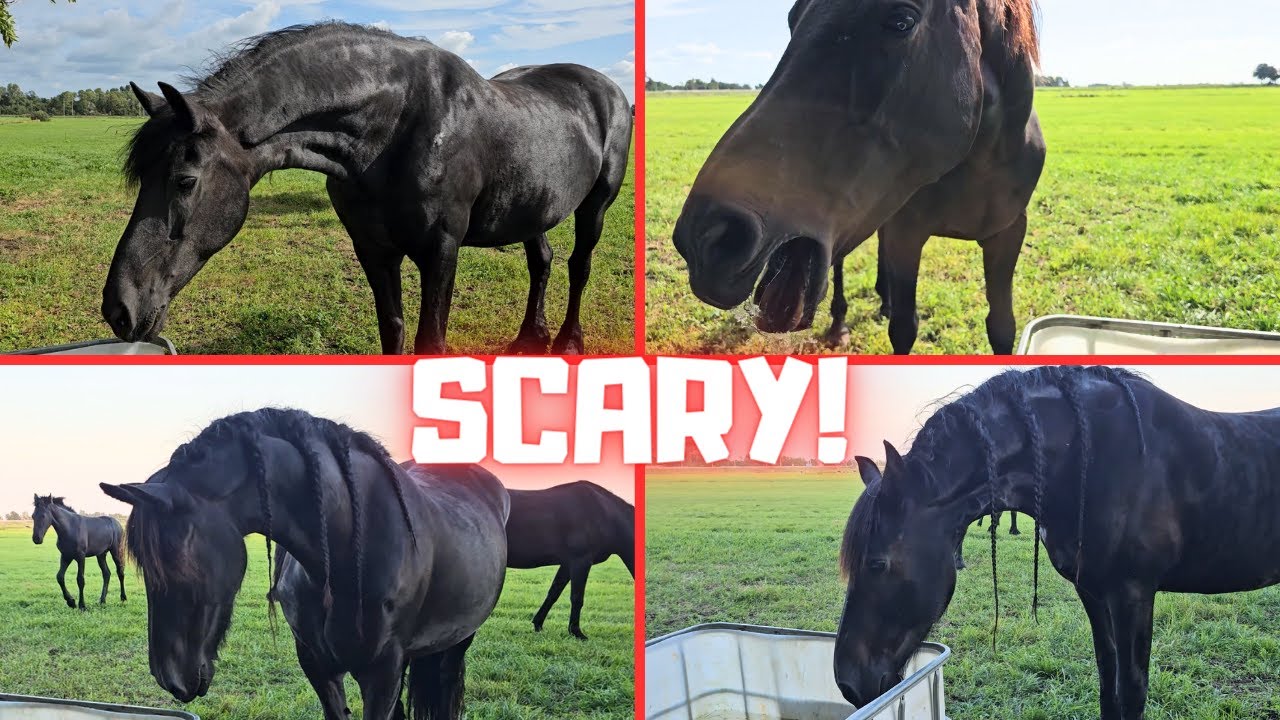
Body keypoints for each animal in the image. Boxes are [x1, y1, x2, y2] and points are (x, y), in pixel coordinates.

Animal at [100, 408, 509, 720]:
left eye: (178, 563)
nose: (169, 679)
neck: (347, 554)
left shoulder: (383, 673)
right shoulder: (317, 664)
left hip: (457, 643)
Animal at [103, 22, 632, 355]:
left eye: (185, 180)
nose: (118, 309)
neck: (395, 127)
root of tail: (608, 89)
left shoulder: (441, 251)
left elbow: (429, 341)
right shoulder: (373, 251)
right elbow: (392, 331)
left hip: (595, 207)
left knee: (579, 265)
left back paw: (568, 341)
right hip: (531, 209)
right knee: (541, 261)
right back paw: (529, 339)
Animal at [503, 480, 635, 639]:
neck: (605, 513)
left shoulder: (567, 564)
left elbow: (554, 593)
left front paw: (538, 624)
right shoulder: (581, 561)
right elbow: (577, 598)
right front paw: (576, 631)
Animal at [671, 0, 1046, 354]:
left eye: (901, 20)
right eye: (792, 20)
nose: (706, 237)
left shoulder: (1008, 234)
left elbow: (1002, 326)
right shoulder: (904, 233)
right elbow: (904, 328)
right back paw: (840, 323)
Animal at [834, 366, 1280, 719]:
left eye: (877, 564)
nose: (849, 683)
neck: (1088, 460)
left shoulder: (1133, 593)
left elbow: (1131, 690)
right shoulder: (1093, 591)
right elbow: (1107, 681)